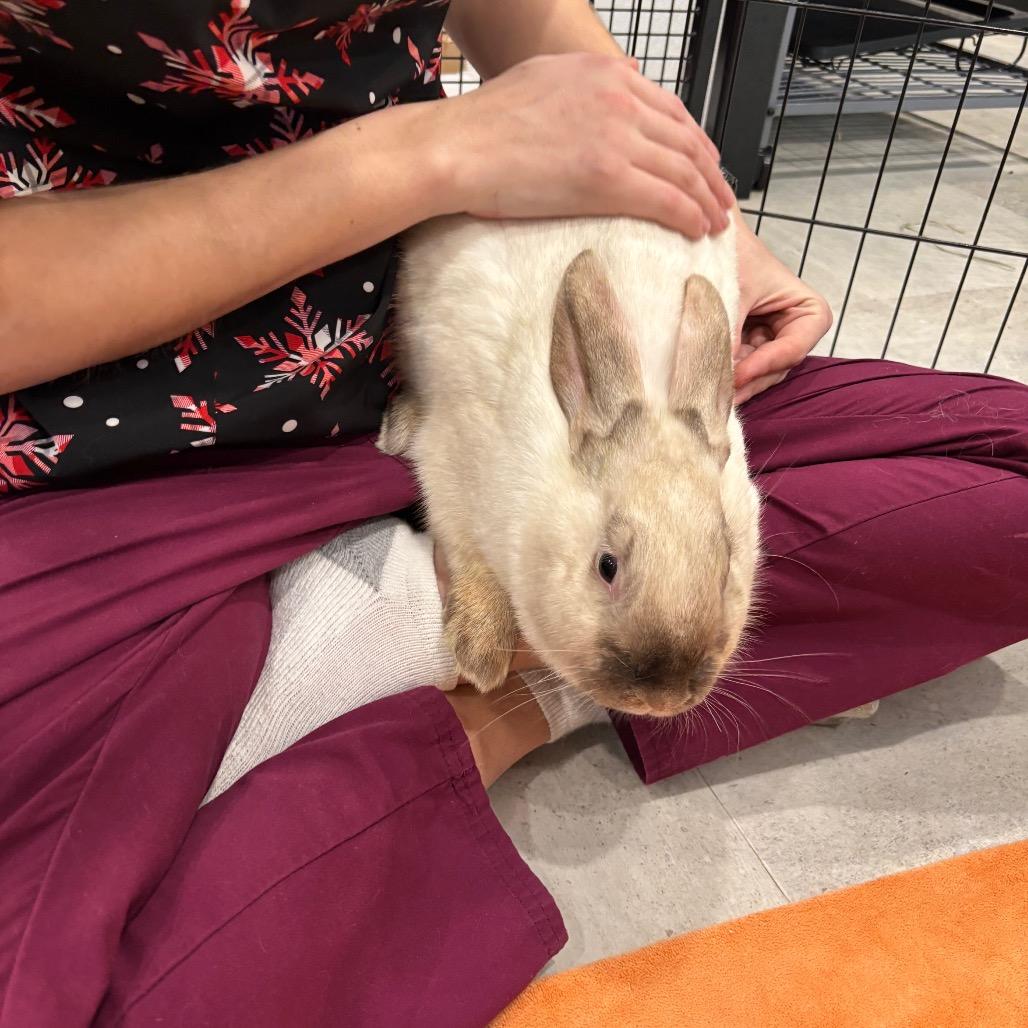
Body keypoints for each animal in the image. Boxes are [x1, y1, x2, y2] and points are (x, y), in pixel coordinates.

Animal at [379, 214, 760, 718]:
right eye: (606, 566)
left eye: (726, 568)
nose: (662, 699)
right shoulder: (449, 467)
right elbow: (470, 558)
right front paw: (481, 653)